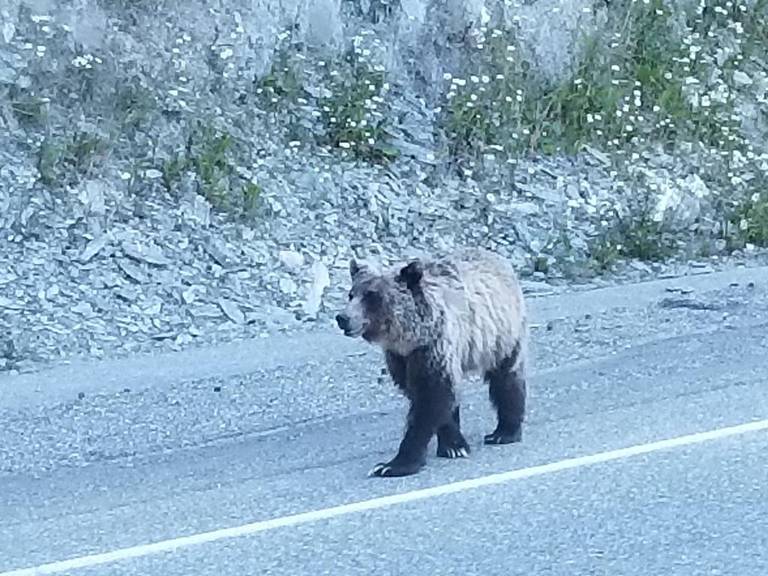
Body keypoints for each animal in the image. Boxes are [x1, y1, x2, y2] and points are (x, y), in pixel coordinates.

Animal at [336, 248, 528, 476]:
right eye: (351, 294)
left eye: (372, 295)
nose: (343, 317)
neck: (410, 337)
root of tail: (497, 257)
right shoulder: (402, 358)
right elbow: (432, 397)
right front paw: (453, 445)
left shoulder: (433, 348)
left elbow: (431, 398)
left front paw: (393, 464)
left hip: (501, 335)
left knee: (506, 377)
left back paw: (504, 432)